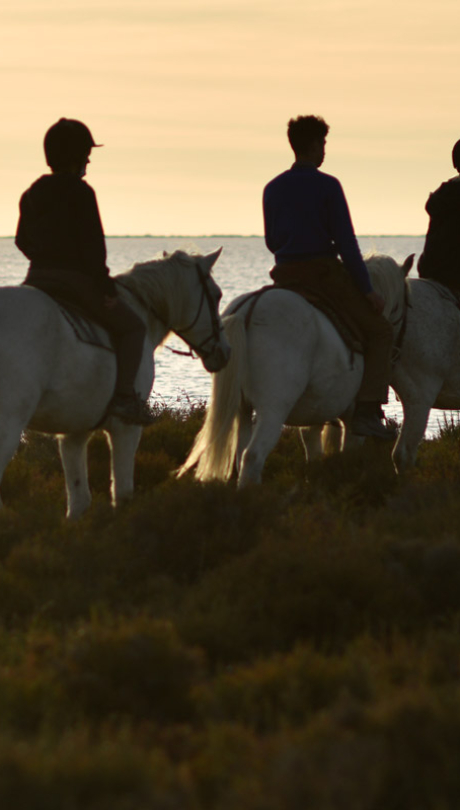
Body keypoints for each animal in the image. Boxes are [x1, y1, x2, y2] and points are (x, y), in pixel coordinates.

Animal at [0, 246, 230, 516]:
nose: (225, 352)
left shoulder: (75, 433)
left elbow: (79, 502)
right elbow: (122, 494)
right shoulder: (126, 427)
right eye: (216, 295)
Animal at [179, 252, 414, 482]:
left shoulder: (316, 411)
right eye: (406, 304)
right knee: (253, 456)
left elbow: (313, 449)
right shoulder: (352, 419)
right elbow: (349, 453)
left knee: (240, 453)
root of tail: (247, 310)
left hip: (241, 408)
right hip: (273, 409)